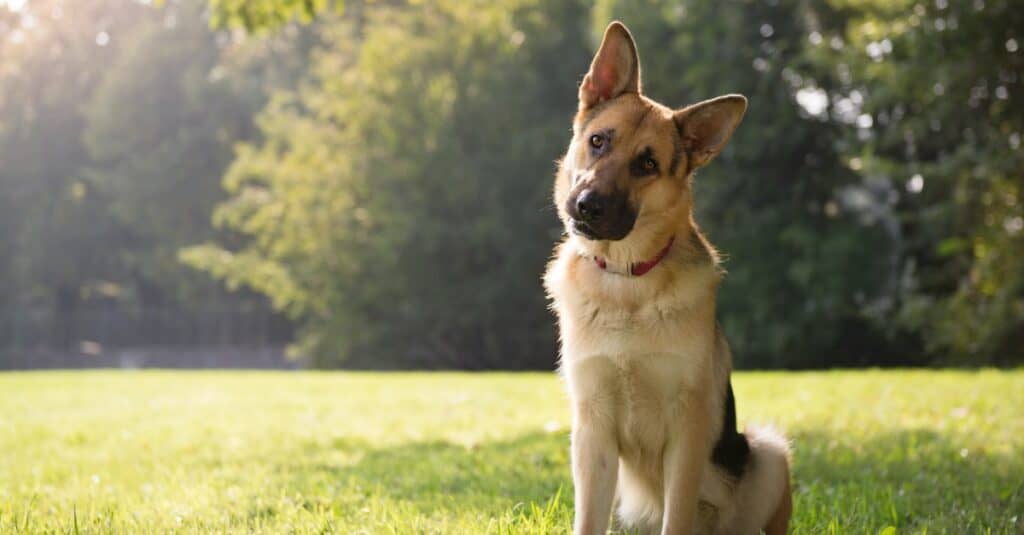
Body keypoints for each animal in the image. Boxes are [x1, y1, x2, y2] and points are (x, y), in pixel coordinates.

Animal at [544, 21, 790, 532]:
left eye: (647, 164)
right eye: (599, 141)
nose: (587, 207)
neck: (627, 281)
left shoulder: (687, 433)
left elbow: (676, 517)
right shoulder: (592, 434)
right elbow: (588, 519)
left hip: (769, 453)